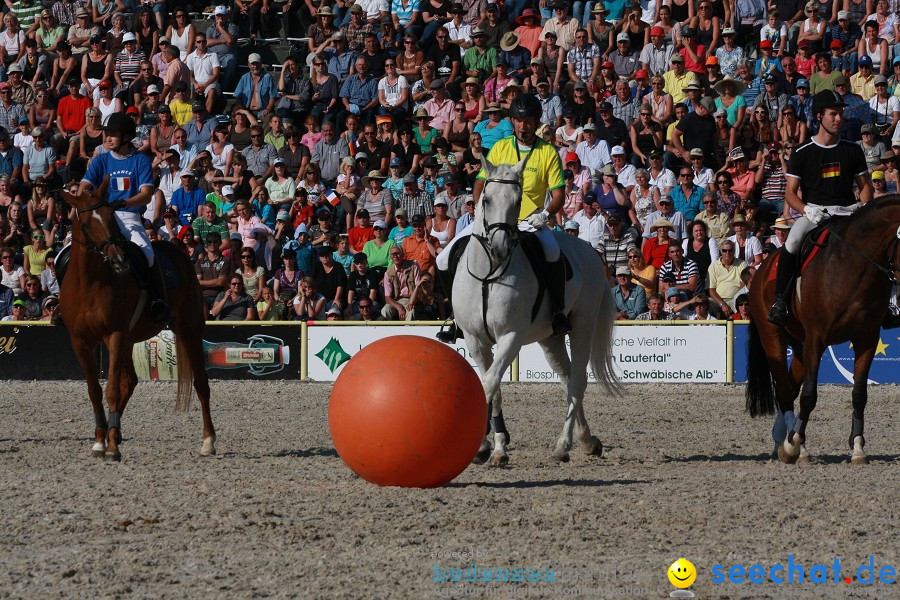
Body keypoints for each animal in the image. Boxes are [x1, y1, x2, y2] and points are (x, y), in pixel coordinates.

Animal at [59, 177, 214, 460]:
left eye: (111, 217)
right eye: (86, 223)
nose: (119, 260)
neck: (90, 283)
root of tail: (176, 250)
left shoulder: (115, 334)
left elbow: (111, 389)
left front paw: (111, 448)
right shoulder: (80, 341)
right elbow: (94, 390)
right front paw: (101, 441)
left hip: (189, 329)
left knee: (201, 382)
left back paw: (209, 441)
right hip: (131, 339)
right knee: (129, 381)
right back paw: (115, 432)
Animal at [450, 158, 620, 464]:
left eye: (518, 202)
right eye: (487, 199)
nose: (500, 248)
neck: (488, 274)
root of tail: (589, 251)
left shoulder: (511, 336)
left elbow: (490, 383)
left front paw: (487, 445)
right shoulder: (474, 339)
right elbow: (493, 387)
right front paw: (496, 446)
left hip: (582, 327)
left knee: (578, 381)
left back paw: (564, 445)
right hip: (551, 338)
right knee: (567, 380)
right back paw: (587, 440)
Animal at [748, 196, 900, 464]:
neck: (854, 266)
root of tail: (763, 266)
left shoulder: (867, 339)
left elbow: (859, 394)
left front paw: (858, 449)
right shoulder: (817, 339)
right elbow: (809, 395)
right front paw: (793, 444)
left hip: (800, 346)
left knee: (789, 387)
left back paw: (785, 439)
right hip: (774, 337)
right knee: (784, 390)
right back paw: (791, 446)